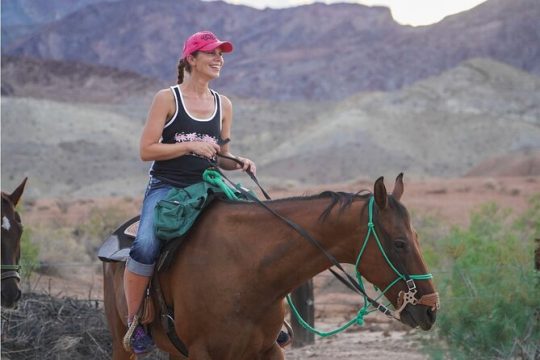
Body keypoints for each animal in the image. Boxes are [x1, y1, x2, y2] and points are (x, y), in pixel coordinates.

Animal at [102, 174, 438, 358]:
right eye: (399, 243)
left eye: (416, 237)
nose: (431, 309)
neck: (248, 270)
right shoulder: (203, 353)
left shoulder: (268, 349)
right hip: (122, 343)